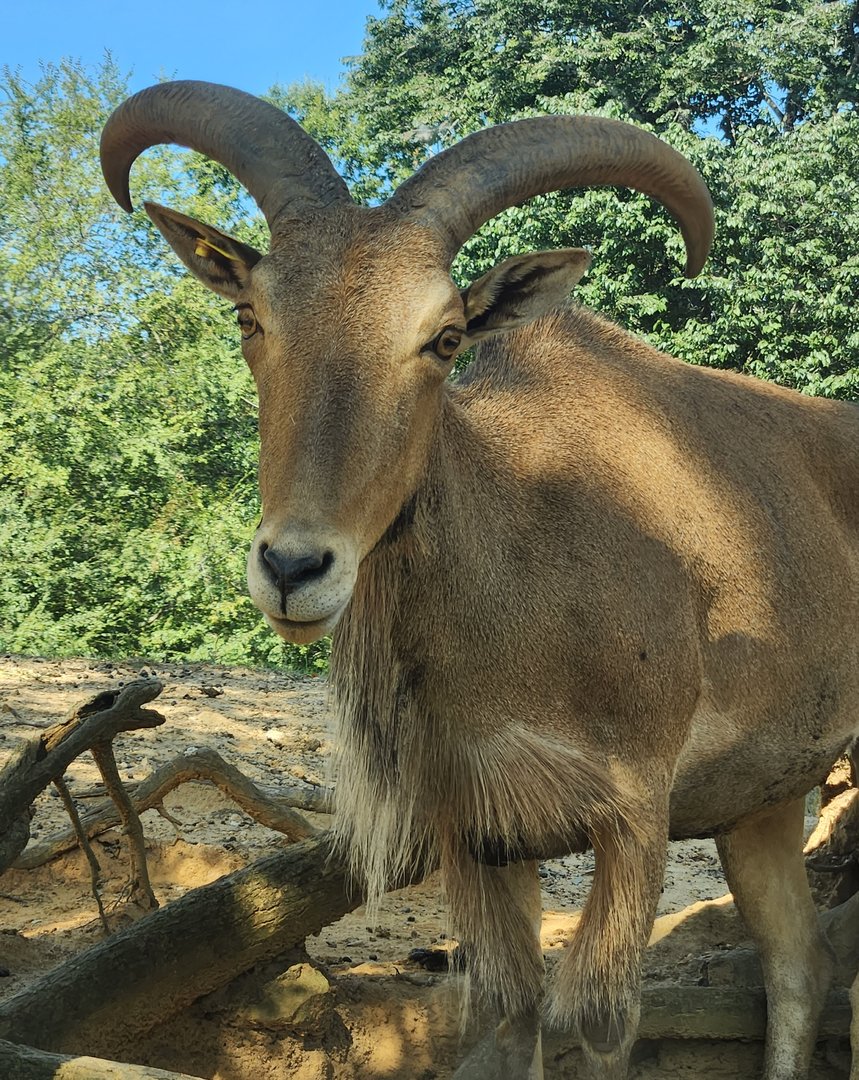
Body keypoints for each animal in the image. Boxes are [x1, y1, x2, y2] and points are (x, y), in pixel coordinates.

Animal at [101, 81, 859, 1079]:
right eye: (250, 319)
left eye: (445, 336)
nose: (294, 568)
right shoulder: (482, 833)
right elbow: (508, 1010)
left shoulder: (632, 814)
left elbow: (602, 1021)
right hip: (762, 801)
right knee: (797, 965)